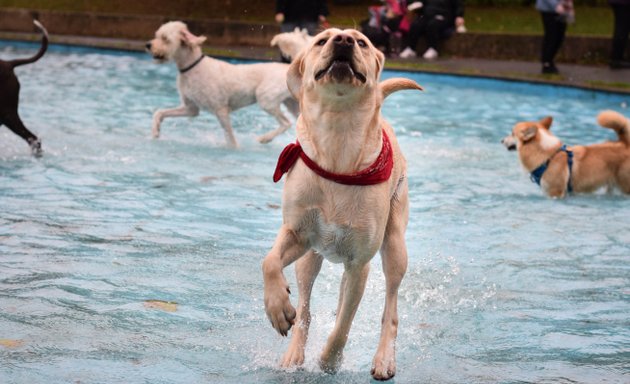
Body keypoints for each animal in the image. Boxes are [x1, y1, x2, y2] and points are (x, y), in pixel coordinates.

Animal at [147, 21, 300, 147]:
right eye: (157, 35)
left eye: (165, 38)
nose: (148, 45)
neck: (193, 67)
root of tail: (288, 67)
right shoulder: (191, 109)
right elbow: (159, 112)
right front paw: (156, 131)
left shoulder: (221, 110)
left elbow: (231, 140)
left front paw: (234, 149)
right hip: (293, 105)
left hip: (266, 100)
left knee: (286, 123)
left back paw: (264, 138)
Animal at [262, 27, 424, 380]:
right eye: (321, 40)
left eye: (362, 42)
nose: (345, 41)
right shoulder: (297, 233)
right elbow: (269, 262)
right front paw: (277, 308)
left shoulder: (359, 262)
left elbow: (343, 327)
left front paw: (329, 362)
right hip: (309, 259)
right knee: (306, 309)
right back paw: (294, 353)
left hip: (395, 244)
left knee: (389, 307)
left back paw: (383, 358)